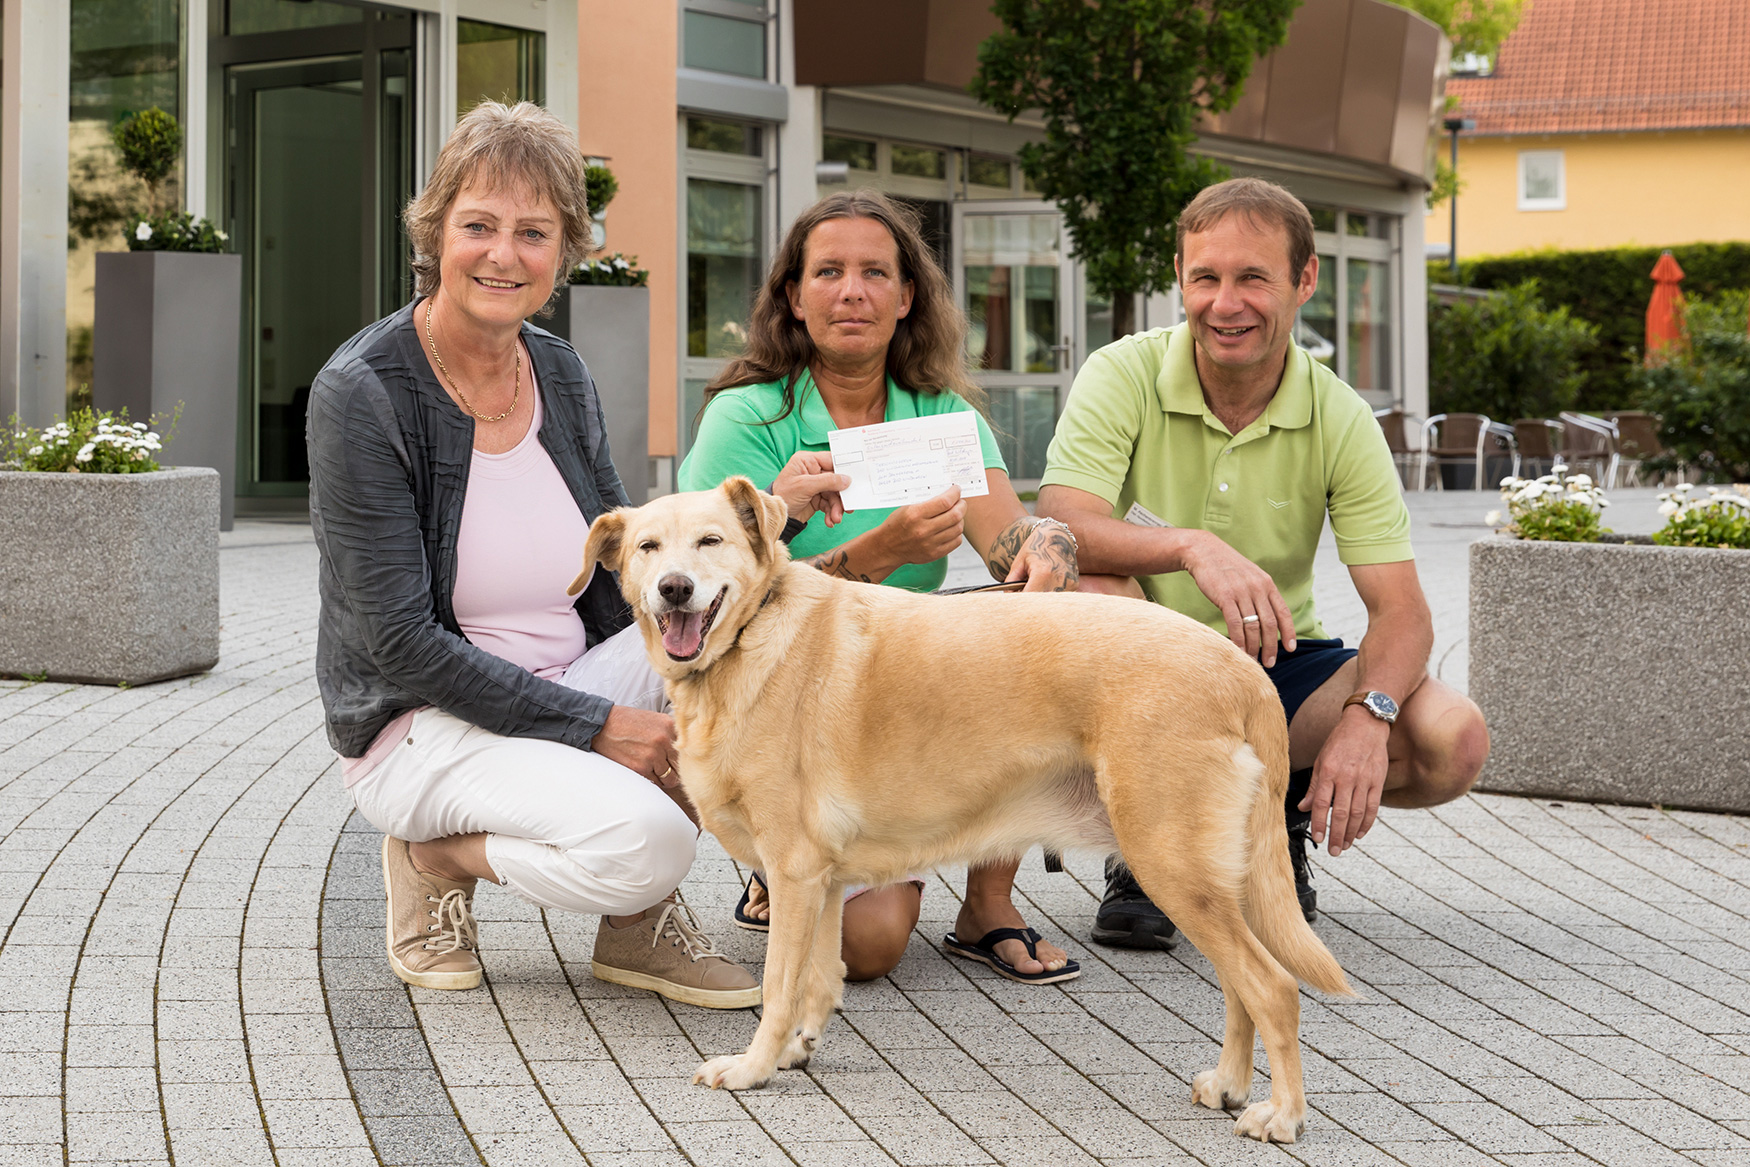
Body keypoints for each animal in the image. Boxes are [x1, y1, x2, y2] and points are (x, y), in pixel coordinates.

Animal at [574, 475, 1351, 1140]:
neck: (748, 642)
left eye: (709, 541)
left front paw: (755, 1067)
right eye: (648, 548)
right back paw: (1228, 1085)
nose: (674, 589)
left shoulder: (793, 872)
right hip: (1210, 879)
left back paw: (1282, 1115)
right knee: (1241, 987)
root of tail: (1241, 667)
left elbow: (780, 985)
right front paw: (797, 1050)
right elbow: (819, 979)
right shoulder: (819, 881)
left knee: (1272, 988)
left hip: (1173, 864)